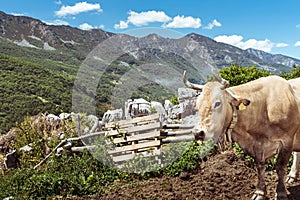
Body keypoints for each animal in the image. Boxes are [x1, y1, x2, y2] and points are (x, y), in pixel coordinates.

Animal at [184, 70, 300, 200]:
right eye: (196, 105)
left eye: (218, 103)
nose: (198, 133)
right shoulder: (257, 145)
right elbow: (260, 167)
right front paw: (259, 192)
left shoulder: (287, 140)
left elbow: (280, 167)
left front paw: (280, 193)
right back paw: (292, 175)